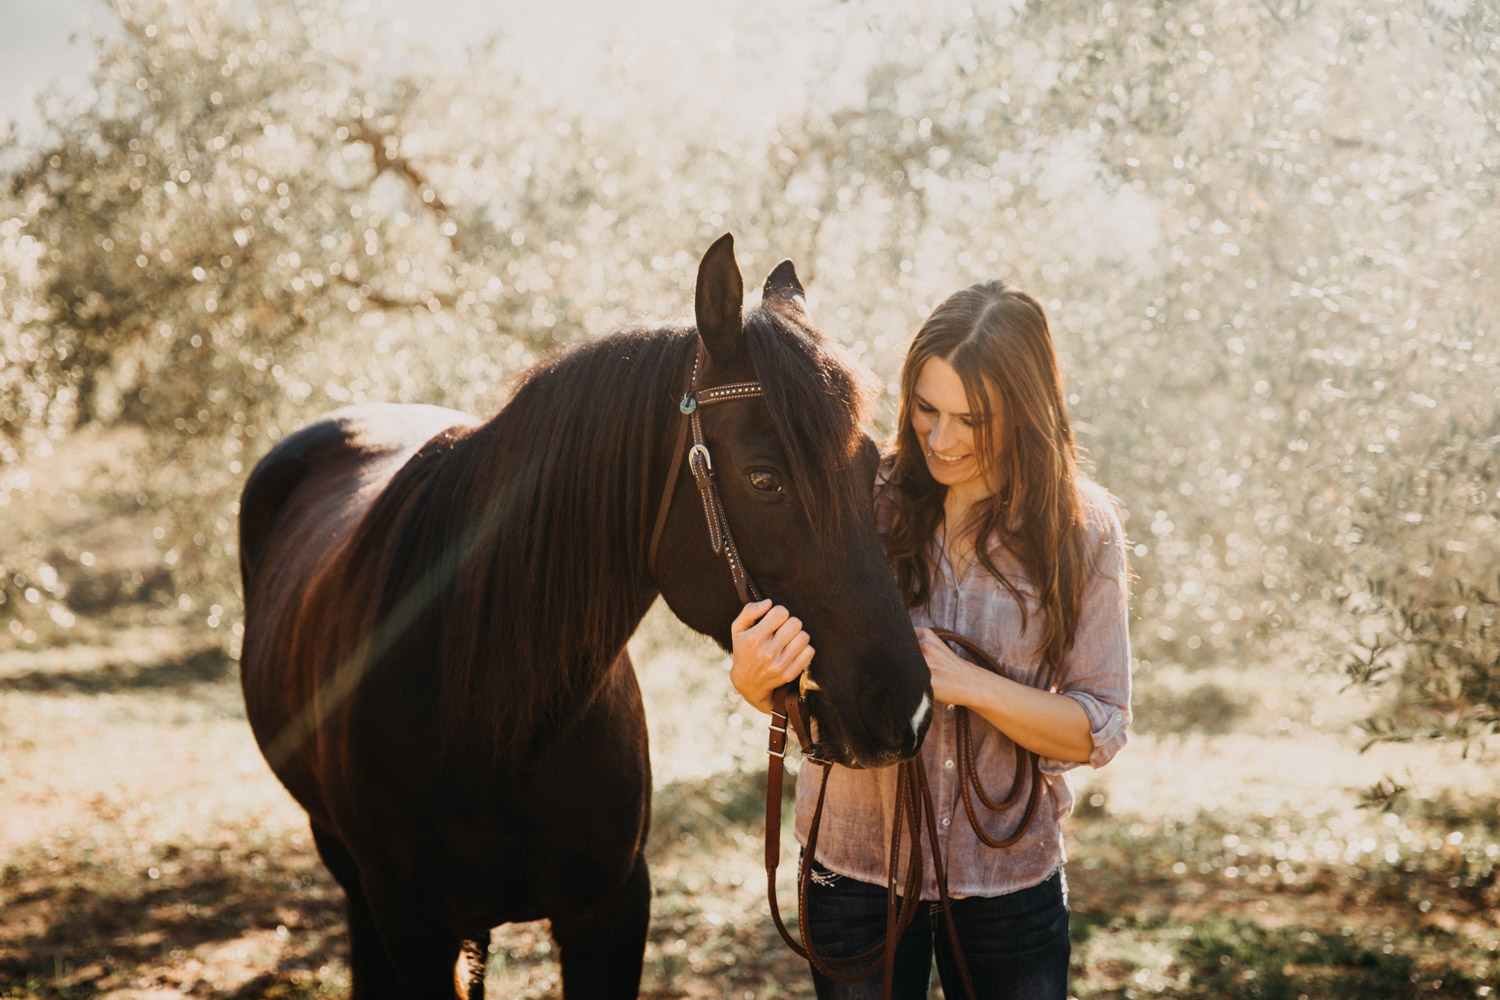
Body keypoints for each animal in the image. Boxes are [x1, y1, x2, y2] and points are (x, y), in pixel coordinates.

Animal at [238, 232, 930, 995]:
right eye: (764, 479)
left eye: (871, 468)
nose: (907, 706)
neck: (491, 716)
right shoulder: (409, 922)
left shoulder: (612, 911)